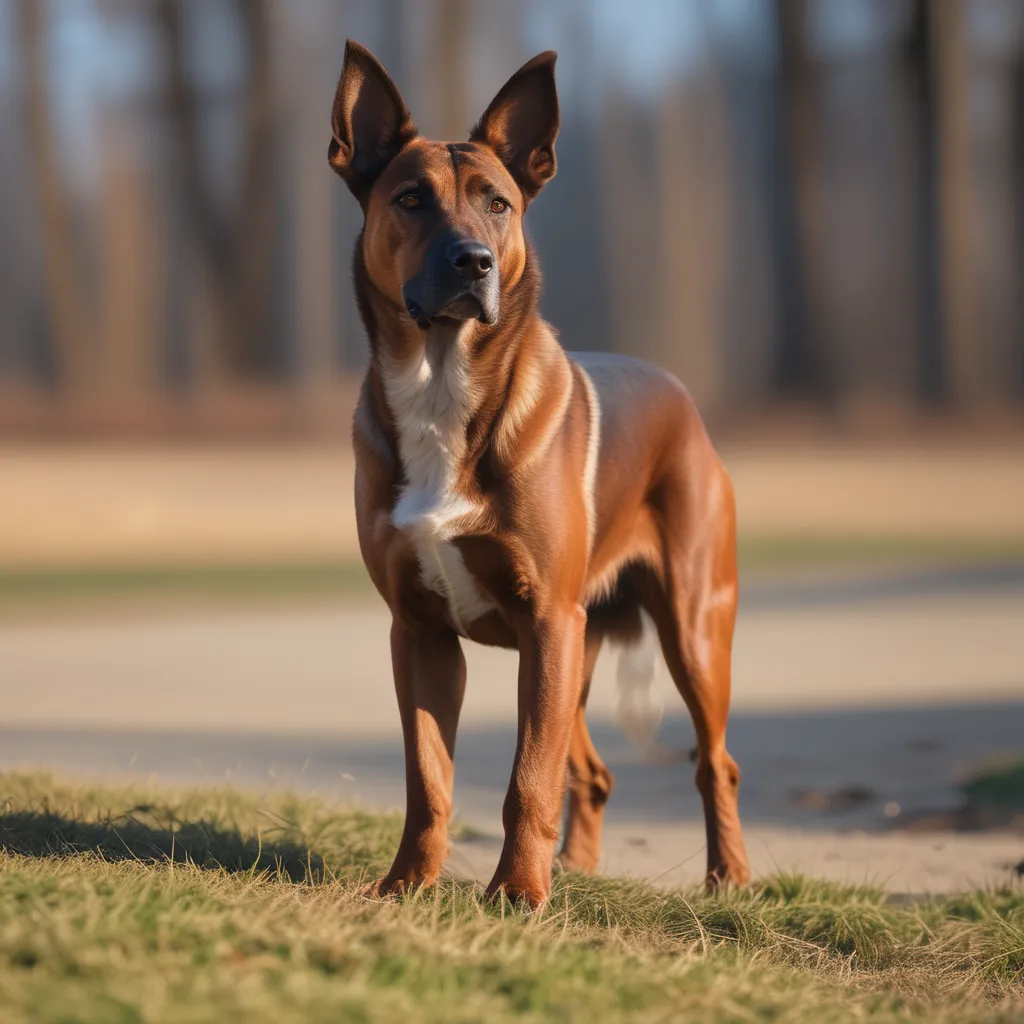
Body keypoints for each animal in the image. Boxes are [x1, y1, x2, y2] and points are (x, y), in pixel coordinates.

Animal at [329, 39, 753, 909]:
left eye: (498, 204)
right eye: (411, 200)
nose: (474, 262)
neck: (443, 388)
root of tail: (684, 400)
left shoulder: (548, 620)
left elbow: (528, 777)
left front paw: (518, 893)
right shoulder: (420, 633)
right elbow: (429, 778)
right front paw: (408, 883)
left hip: (689, 629)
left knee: (713, 762)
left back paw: (727, 876)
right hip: (579, 651)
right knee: (590, 771)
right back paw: (579, 867)